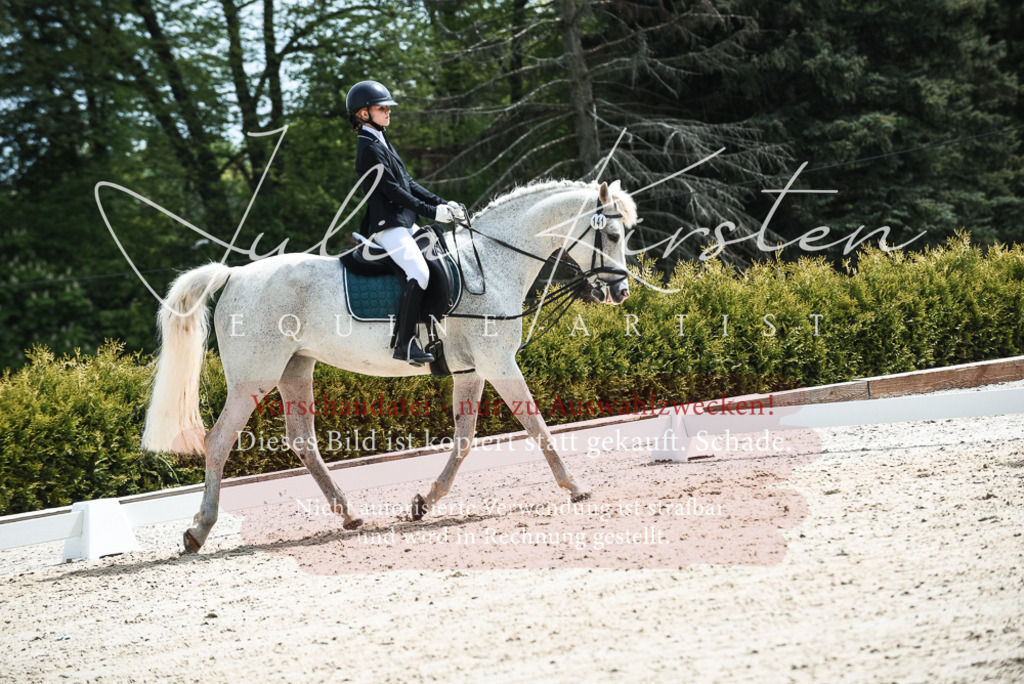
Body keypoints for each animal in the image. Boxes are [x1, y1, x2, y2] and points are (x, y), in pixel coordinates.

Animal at [141, 179, 637, 552]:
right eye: (612, 236)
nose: (620, 292)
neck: (492, 264)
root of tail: (235, 275)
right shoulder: (498, 363)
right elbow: (536, 424)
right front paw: (575, 485)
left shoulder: (472, 370)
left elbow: (465, 439)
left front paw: (424, 502)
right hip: (253, 378)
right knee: (219, 440)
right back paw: (198, 530)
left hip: (295, 369)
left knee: (302, 441)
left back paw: (350, 516)